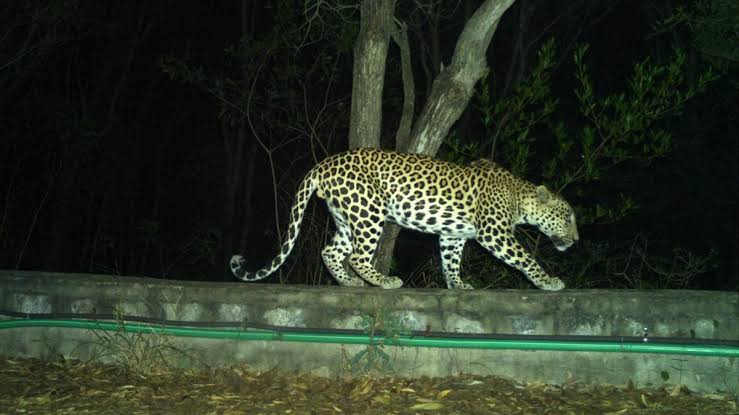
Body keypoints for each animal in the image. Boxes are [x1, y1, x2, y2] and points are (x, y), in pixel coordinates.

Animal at [230, 148, 579, 290]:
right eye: (568, 217)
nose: (576, 240)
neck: (520, 196)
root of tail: (324, 163)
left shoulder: (452, 235)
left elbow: (450, 261)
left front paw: (458, 285)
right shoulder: (495, 232)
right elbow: (525, 258)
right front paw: (548, 281)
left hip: (346, 217)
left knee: (331, 251)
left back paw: (350, 282)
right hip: (369, 210)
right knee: (357, 256)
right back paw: (384, 281)